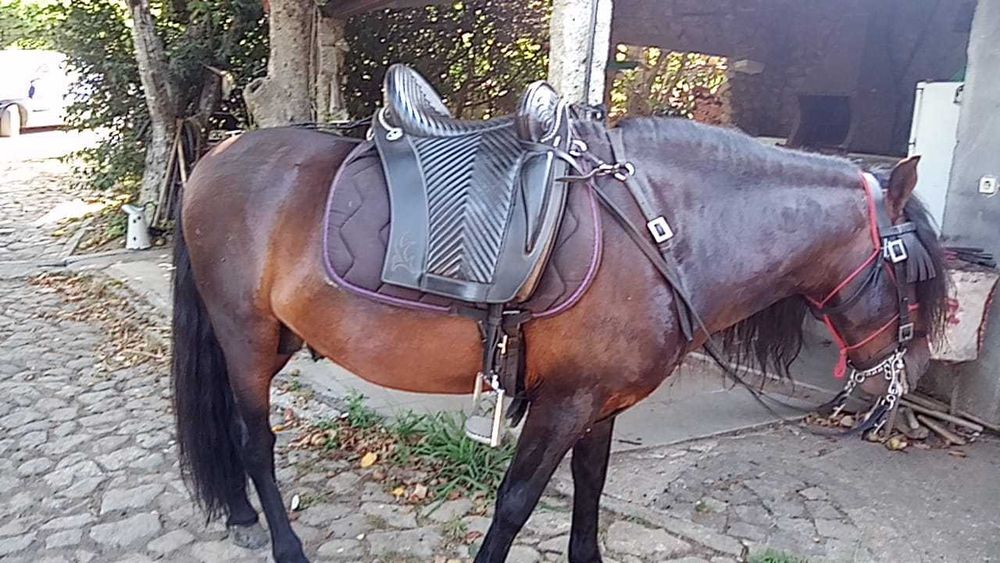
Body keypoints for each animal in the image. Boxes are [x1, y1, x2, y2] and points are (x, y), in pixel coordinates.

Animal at [171, 116, 948, 563]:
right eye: (913, 272)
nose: (903, 374)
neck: (662, 232)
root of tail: (216, 157)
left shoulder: (601, 403)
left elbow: (589, 489)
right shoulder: (563, 402)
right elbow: (516, 502)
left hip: (276, 337)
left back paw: (239, 511)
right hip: (244, 333)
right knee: (253, 438)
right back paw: (283, 543)